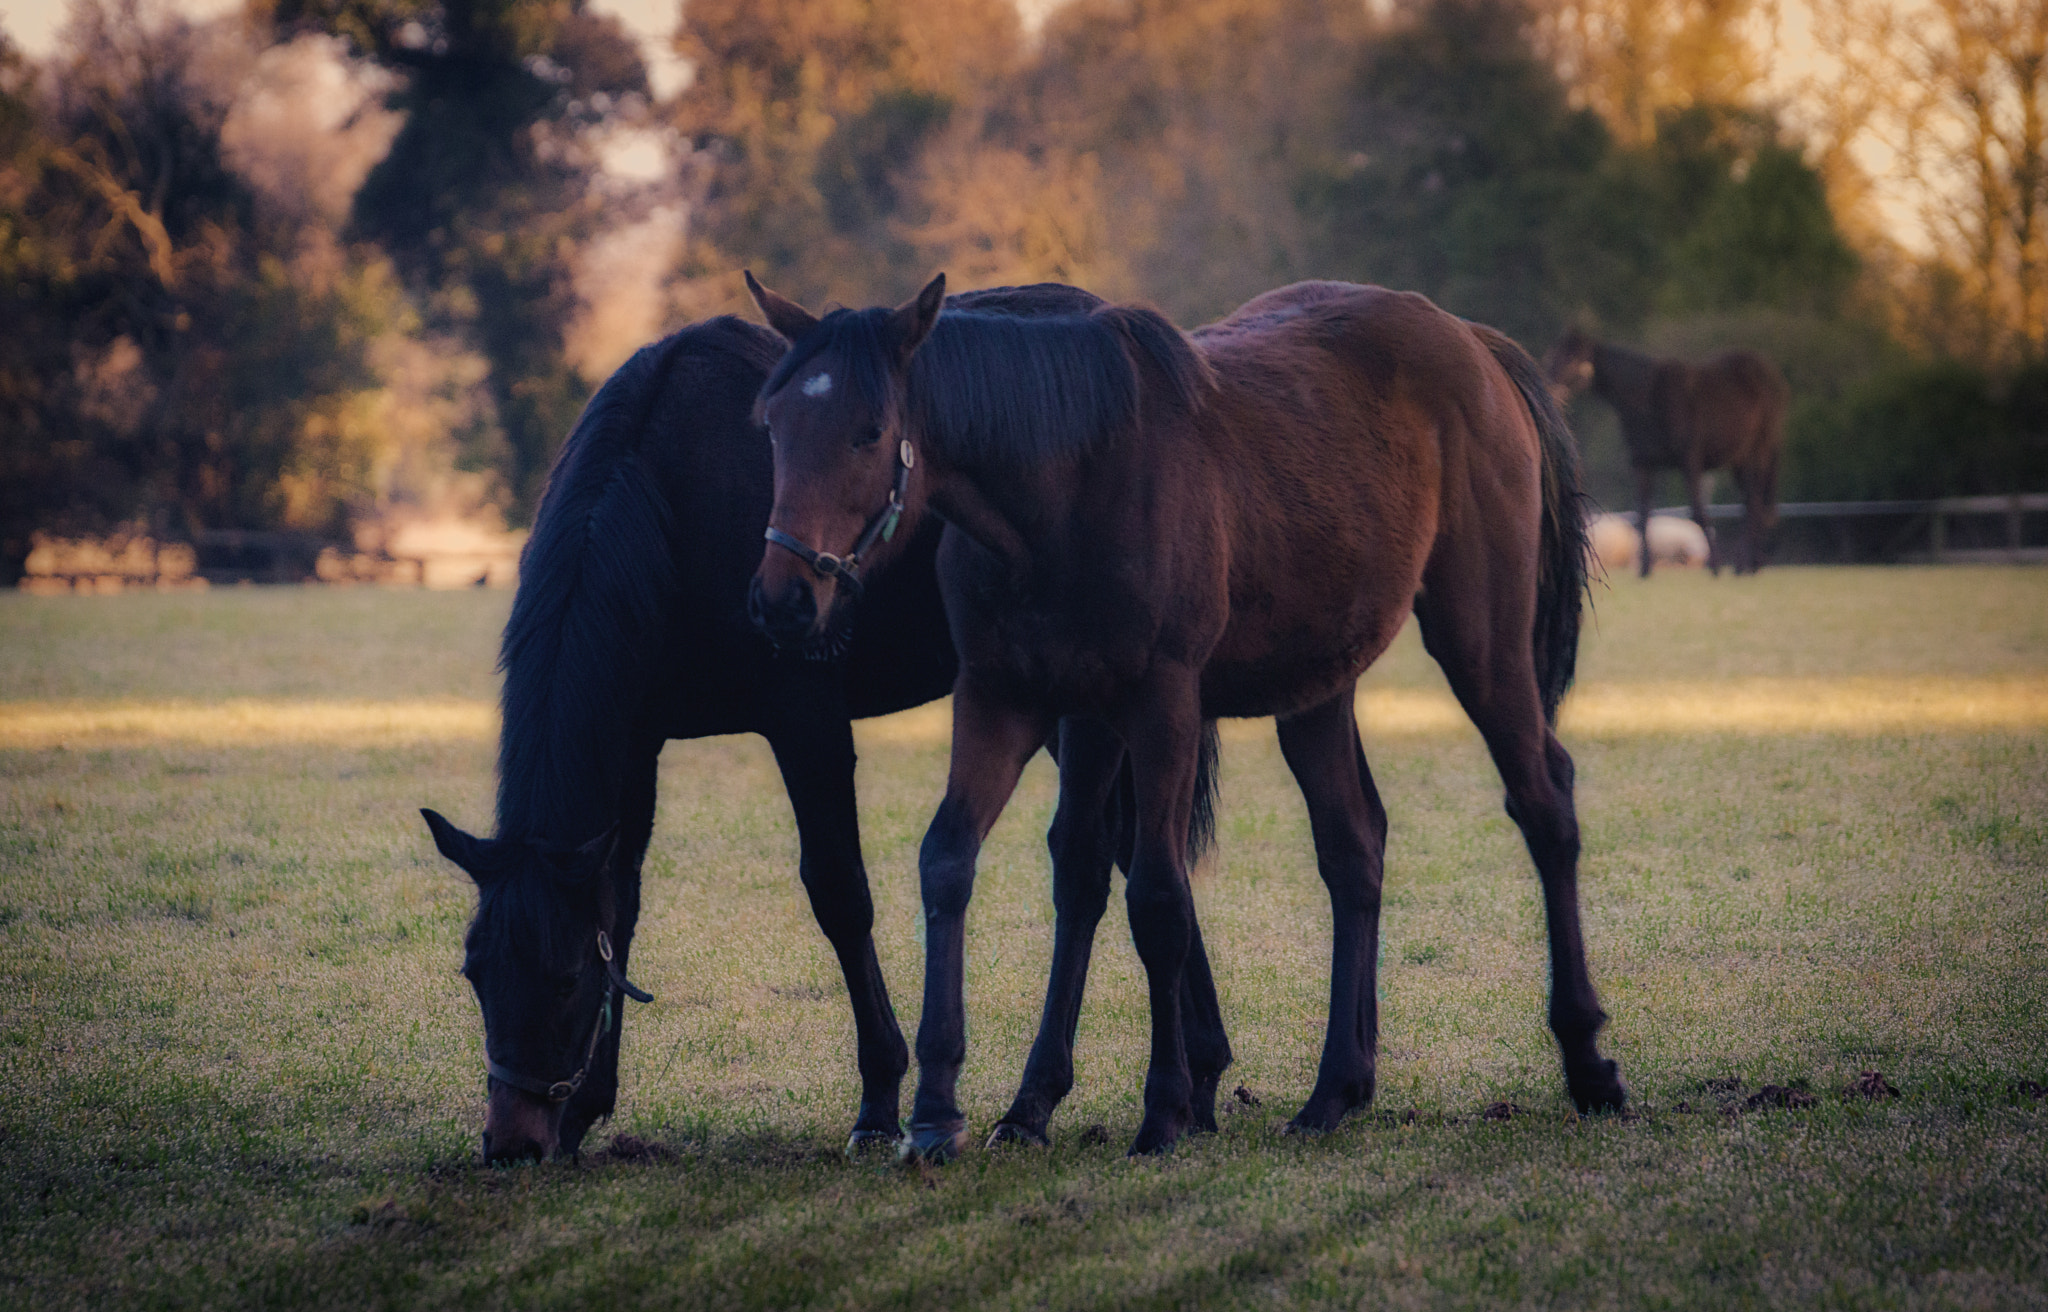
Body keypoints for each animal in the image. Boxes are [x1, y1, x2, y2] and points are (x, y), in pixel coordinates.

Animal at [419, 286, 1193, 1164]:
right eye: (475, 972)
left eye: (563, 979)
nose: (512, 1142)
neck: (669, 493)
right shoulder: (635, 742)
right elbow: (622, 897)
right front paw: (588, 1104)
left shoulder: (807, 721)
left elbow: (839, 893)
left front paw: (880, 1100)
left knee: (1091, 865)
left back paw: (1050, 1101)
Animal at [746, 273, 1628, 1159]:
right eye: (774, 425)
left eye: (868, 433)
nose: (784, 599)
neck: (1066, 486)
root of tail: (1474, 343)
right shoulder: (1019, 703)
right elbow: (982, 864)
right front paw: (964, 1105)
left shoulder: (1160, 704)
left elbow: (1158, 897)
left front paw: (1165, 1109)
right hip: (1316, 688)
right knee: (1354, 844)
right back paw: (1334, 1091)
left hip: (1481, 643)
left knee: (1544, 800)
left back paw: (1588, 1062)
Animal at [1544, 328, 1788, 575]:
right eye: (1553, 353)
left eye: (1574, 358)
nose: (1550, 390)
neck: (1648, 397)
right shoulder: (1642, 465)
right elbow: (1642, 517)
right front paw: (1644, 571)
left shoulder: (1690, 462)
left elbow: (1699, 513)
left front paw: (1715, 567)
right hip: (1738, 459)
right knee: (1752, 503)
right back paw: (1751, 564)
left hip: (1759, 453)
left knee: (1755, 503)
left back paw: (1744, 566)